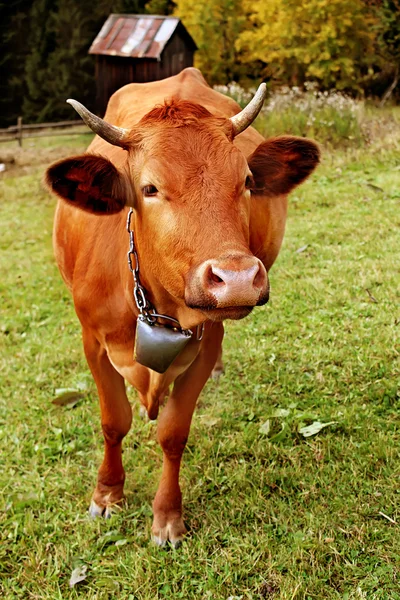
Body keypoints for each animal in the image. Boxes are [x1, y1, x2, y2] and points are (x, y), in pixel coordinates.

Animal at [45, 68, 318, 548]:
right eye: (150, 188)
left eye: (247, 181)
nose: (237, 279)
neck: (154, 307)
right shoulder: (92, 342)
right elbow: (113, 421)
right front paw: (107, 494)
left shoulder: (204, 345)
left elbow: (173, 433)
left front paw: (167, 516)